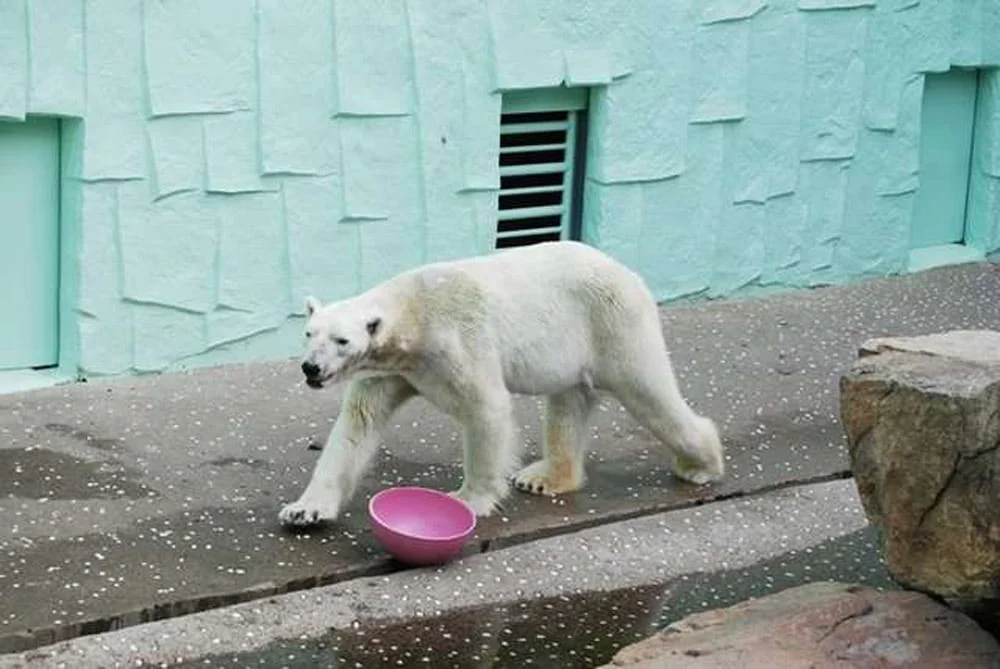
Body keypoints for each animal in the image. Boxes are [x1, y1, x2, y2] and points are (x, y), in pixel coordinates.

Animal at [279, 240, 724, 526]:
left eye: (342, 340)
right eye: (309, 333)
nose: (310, 368)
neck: (414, 313)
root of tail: (630, 273)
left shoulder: (457, 341)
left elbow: (485, 408)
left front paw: (468, 500)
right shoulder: (391, 370)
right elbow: (357, 426)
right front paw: (304, 510)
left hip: (613, 322)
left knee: (649, 392)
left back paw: (700, 465)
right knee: (567, 406)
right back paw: (545, 477)